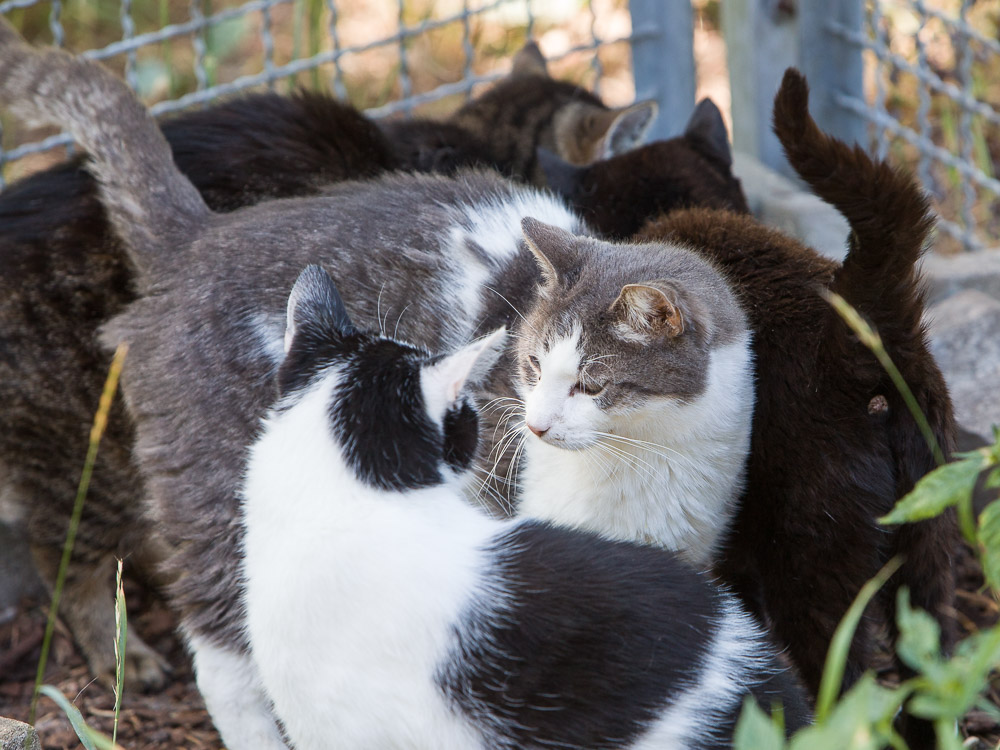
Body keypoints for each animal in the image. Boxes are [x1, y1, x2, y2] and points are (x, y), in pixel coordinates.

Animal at [0, 23, 752, 750]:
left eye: (593, 383)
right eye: (532, 366)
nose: (535, 425)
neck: (645, 463)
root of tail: (197, 237)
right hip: (212, 484)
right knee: (219, 652)